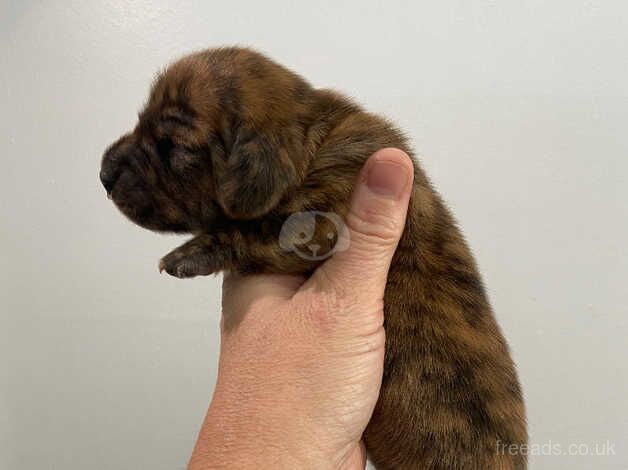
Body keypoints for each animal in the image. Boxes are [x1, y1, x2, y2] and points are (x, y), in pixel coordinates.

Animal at [100, 46, 528, 468]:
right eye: (140, 123)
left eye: (173, 147)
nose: (103, 173)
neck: (312, 140)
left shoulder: (319, 220)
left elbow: (248, 232)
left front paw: (187, 255)